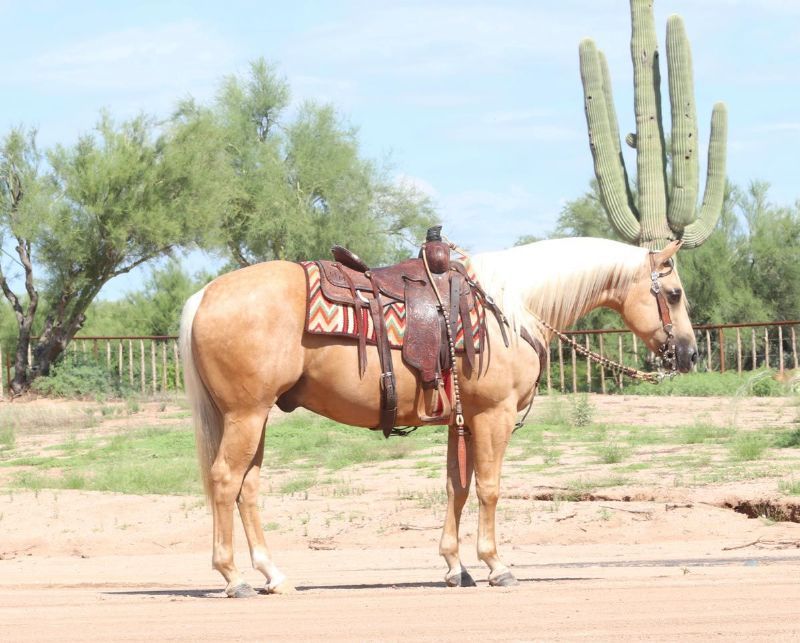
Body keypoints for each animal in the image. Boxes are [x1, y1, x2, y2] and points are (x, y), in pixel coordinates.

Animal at [179, 236, 697, 597]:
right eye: (673, 294)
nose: (689, 354)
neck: (511, 309)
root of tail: (204, 295)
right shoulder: (493, 416)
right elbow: (489, 489)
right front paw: (496, 566)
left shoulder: (459, 422)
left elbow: (457, 488)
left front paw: (455, 566)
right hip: (246, 415)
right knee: (225, 481)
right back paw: (233, 578)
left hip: (253, 417)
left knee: (247, 488)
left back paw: (273, 574)